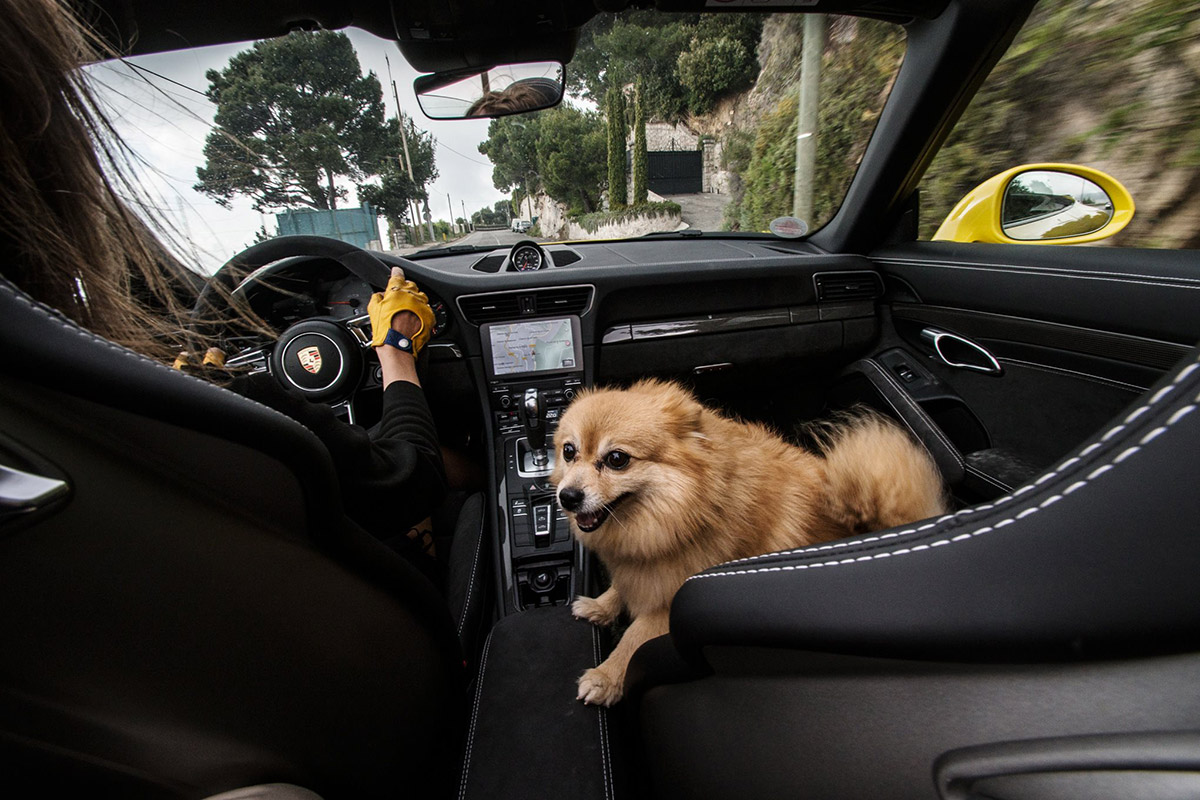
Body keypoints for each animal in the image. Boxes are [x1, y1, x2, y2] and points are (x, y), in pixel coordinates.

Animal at [549, 379, 945, 705]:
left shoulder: (673, 602)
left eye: (617, 459)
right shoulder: (642, 563)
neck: (686, 509)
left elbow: (634, 636)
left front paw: (606, 677)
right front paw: (600, 605)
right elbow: (623, 584)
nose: (567, 496)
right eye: (569, 452)